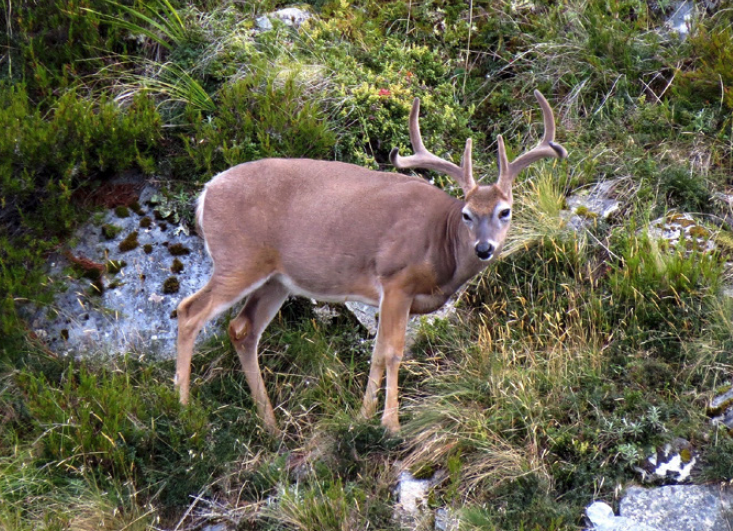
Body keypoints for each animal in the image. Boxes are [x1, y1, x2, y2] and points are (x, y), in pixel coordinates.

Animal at [175, 90, 567, 435]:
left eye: (505, 211)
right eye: (468, 214)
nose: (484, 248)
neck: (441, 244)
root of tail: (206, 192)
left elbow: (377, 352)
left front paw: (362, 418)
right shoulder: (396, 280)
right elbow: (392, 352)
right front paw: (390, 425)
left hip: (276, 280)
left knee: (242, 329)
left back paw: (269, 424)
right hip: (239, 258)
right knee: (189, 311)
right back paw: (183, 410)